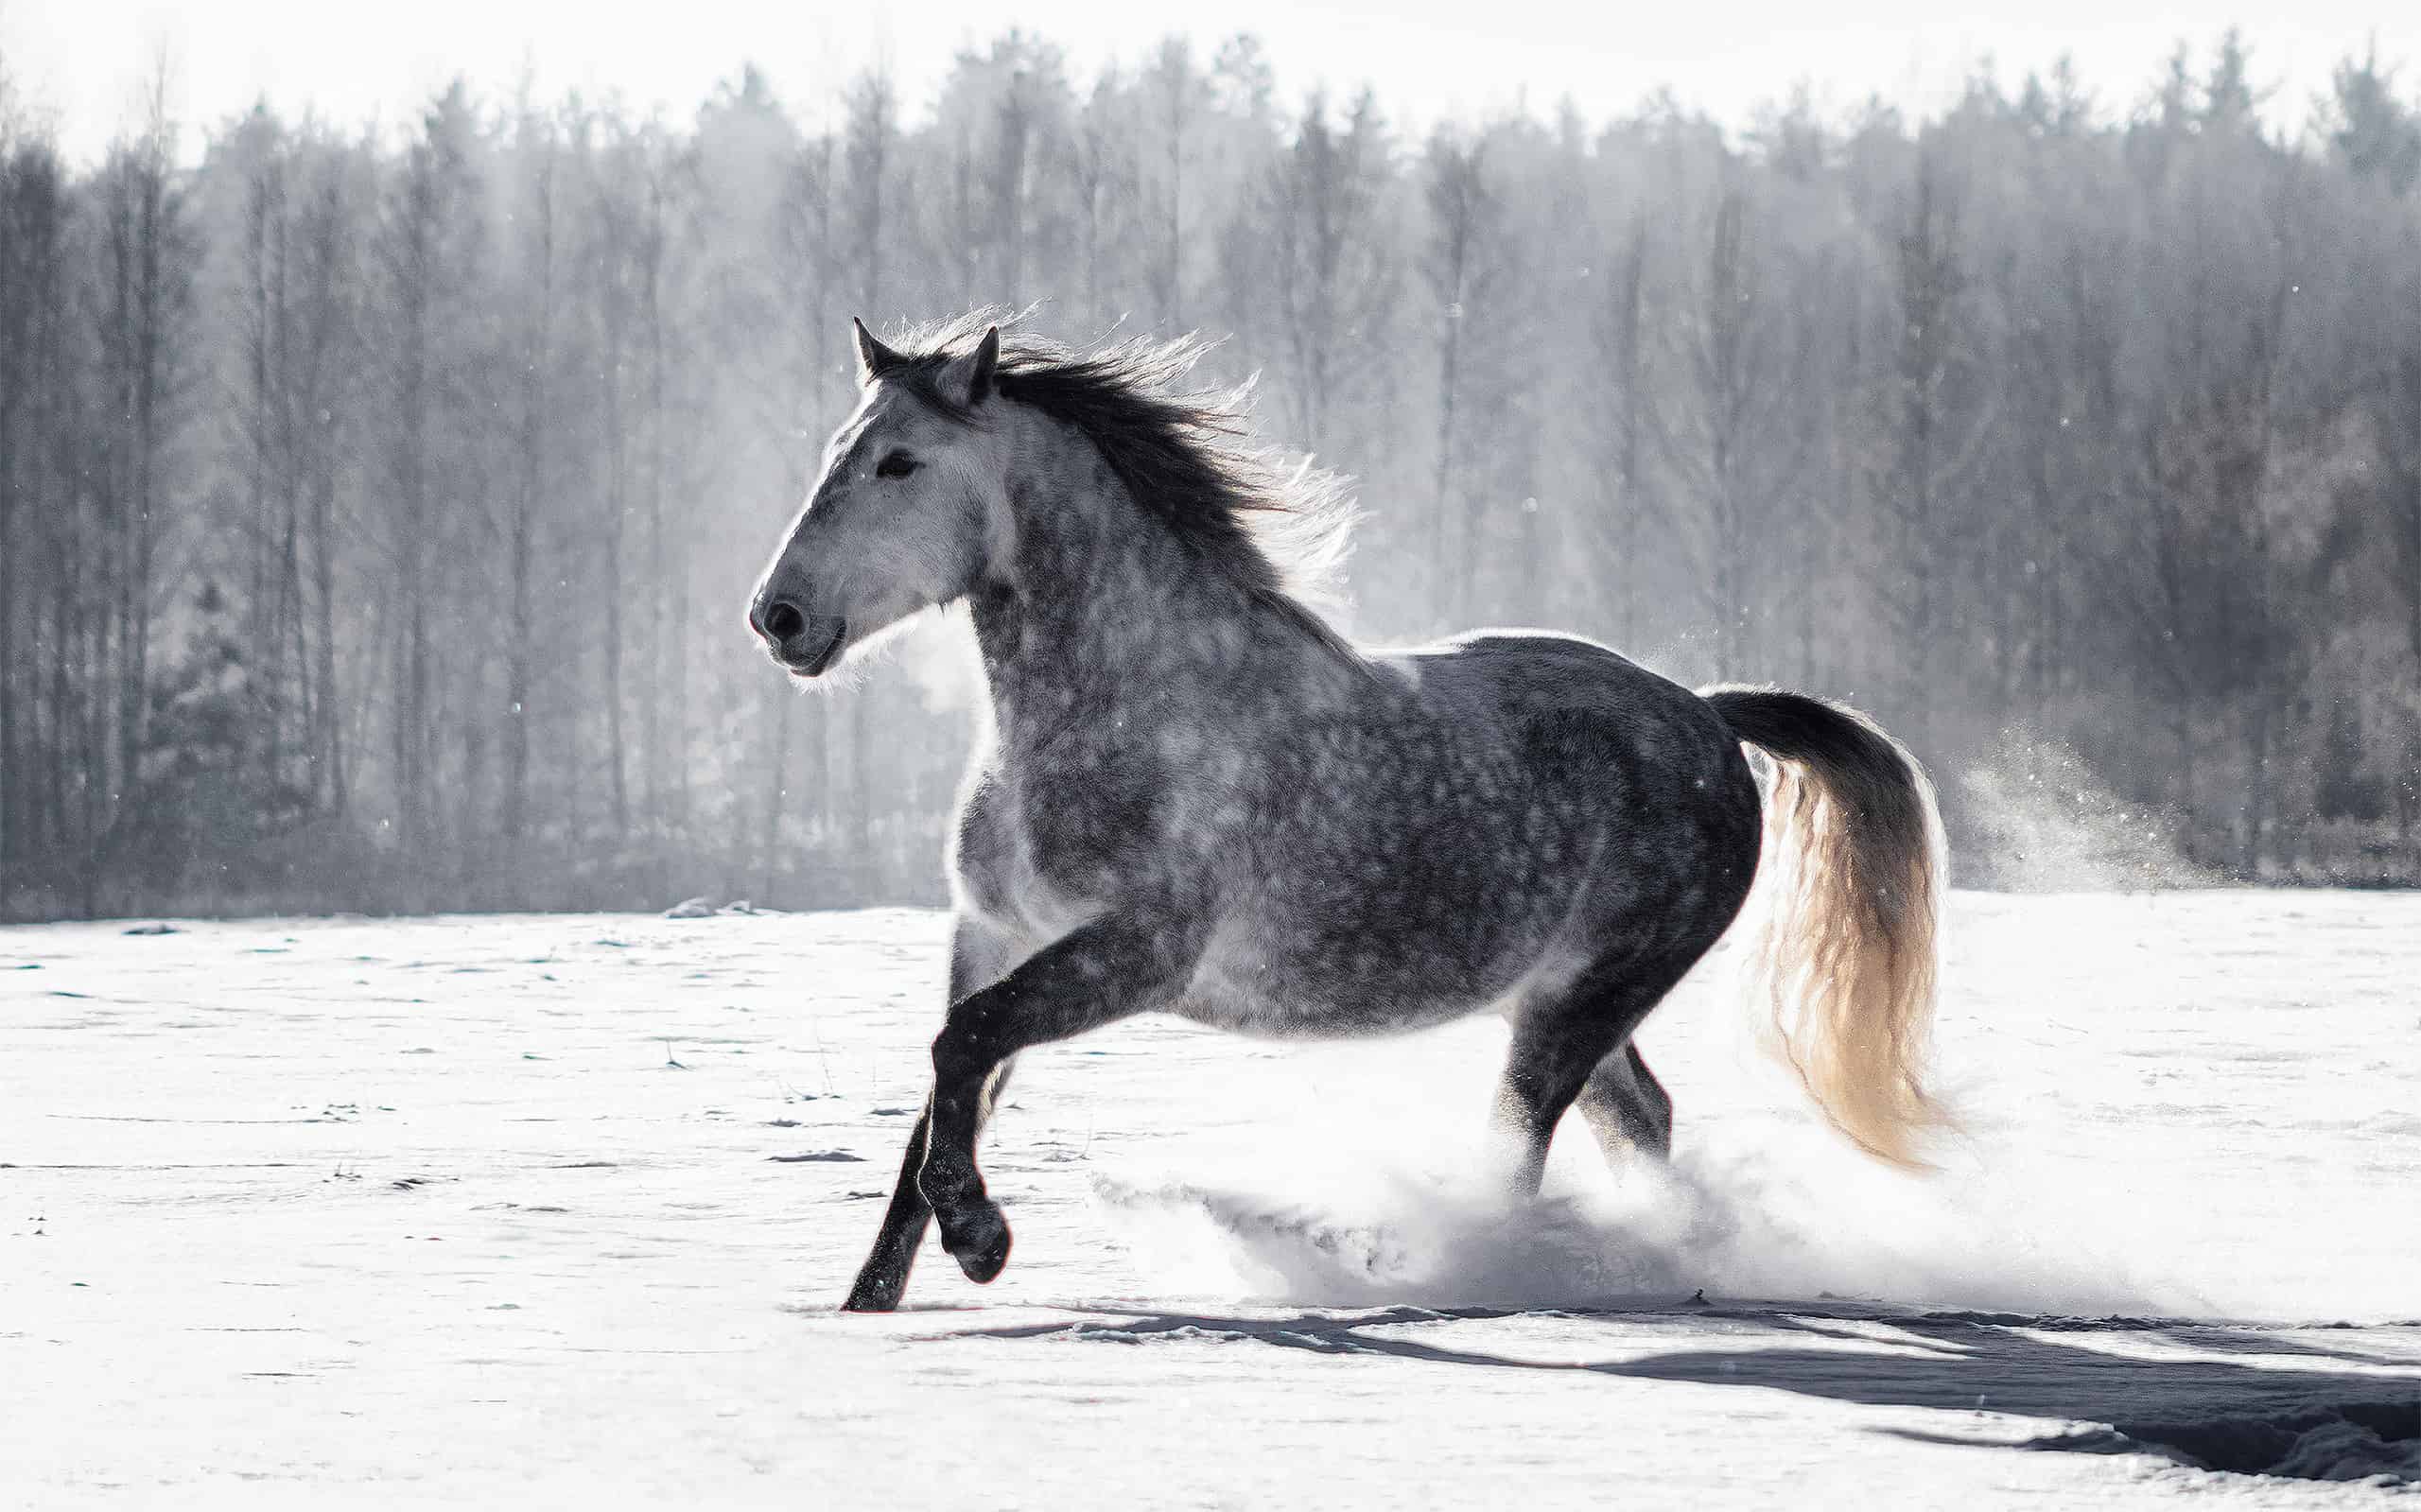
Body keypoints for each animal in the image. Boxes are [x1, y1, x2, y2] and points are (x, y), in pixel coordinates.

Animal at [748, 314, 1947, 1313]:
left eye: (900, 463)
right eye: (837, 450)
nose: (779, 617)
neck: (1127, 706)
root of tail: (1706, 714)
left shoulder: (1138, 954)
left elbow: (960, 1051)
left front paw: (982, 1239)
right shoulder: (992, 933)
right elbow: (939, 1097)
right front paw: (870, 1301)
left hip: (1581, 1003)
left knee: (1521, 1145)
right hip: (1561, 998)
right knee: (1640, 1118)